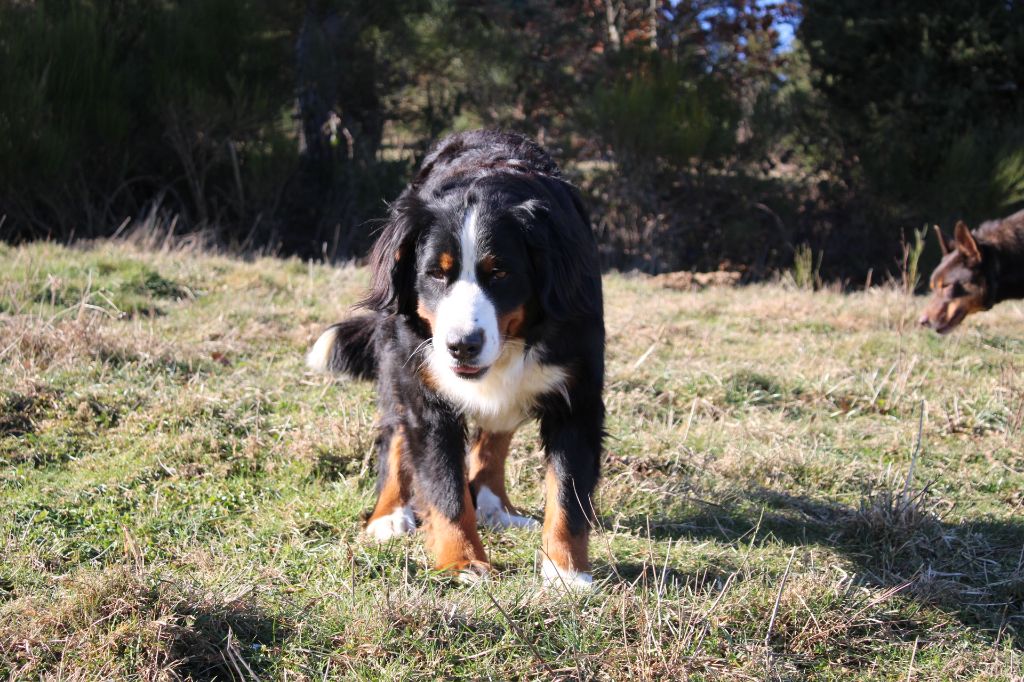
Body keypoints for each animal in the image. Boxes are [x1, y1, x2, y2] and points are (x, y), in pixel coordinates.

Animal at [307, 130, 602, 585]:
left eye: (500, 273)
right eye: (436, 273)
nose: (462, 345)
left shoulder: (577, 394)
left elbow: (568, 494)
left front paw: (566, 573)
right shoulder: (426, 392)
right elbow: (445, 487)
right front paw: (463, 562)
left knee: (494, 434)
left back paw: (496, 505)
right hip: (399, 359)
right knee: (395, 434)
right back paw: (388, 515)